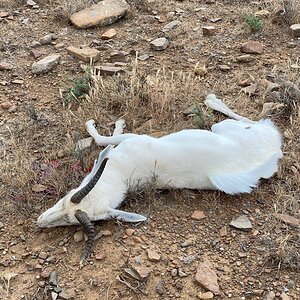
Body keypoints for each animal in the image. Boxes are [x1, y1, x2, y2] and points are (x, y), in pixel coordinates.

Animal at [37, 94, 282, 264]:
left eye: (68, 202)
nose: (40, 223)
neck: (122, 173)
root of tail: (273, 147)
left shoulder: (132, 139)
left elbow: (103, 140)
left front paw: (103, 124)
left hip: (223, 127)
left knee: (256, 121)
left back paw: (212, 100)